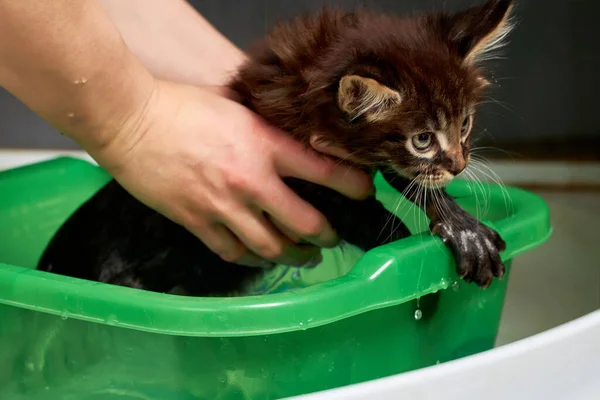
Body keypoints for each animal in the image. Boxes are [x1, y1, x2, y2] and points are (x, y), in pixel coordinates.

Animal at [37, 0, 512, 294]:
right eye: (422, 139)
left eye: (465, 124)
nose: (460, 165)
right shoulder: (298, 178)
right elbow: (367, 212)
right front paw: (410, 238)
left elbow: (407, 179)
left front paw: (461, 226)